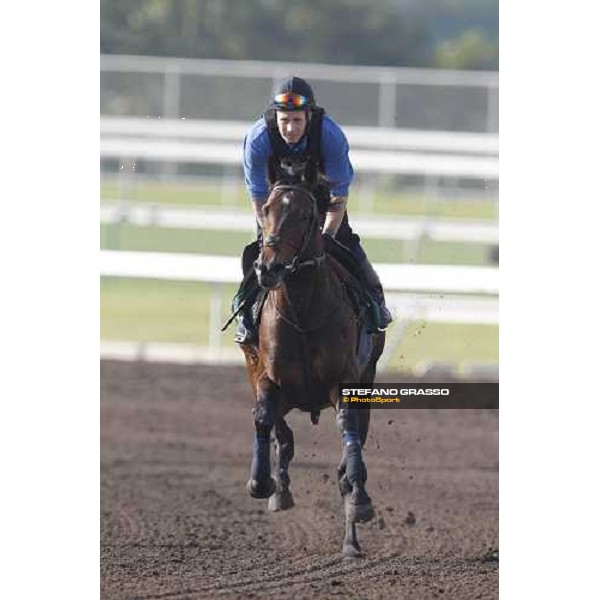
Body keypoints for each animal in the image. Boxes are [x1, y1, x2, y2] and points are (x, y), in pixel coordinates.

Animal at [238, 179, 384, 556]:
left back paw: (350, 540)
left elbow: (347, 436)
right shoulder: (267, 377)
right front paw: (261, 483)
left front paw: (360, 500)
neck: (302, 311)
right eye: (267, 210)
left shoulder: (343, 382)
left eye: (306, 216)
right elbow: (263, 416)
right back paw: (281, 490)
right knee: (281, 432)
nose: (269, 269)